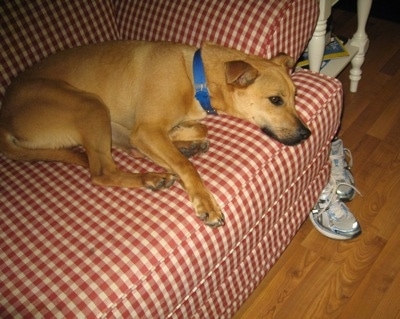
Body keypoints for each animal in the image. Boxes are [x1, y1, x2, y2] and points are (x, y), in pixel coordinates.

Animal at [0, 41, 310, 228]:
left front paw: (184, 138)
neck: (196, 77)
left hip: (108, 120)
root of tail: (5, 117)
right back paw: (152, 176)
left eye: (295, 96)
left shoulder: (147, 130)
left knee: (122, 151)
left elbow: (199, 127)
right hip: (88, 104)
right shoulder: (147, 130)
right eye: (275, 100)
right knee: (101, 172)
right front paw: (205, 201)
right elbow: (186, 166)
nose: (306, 133)